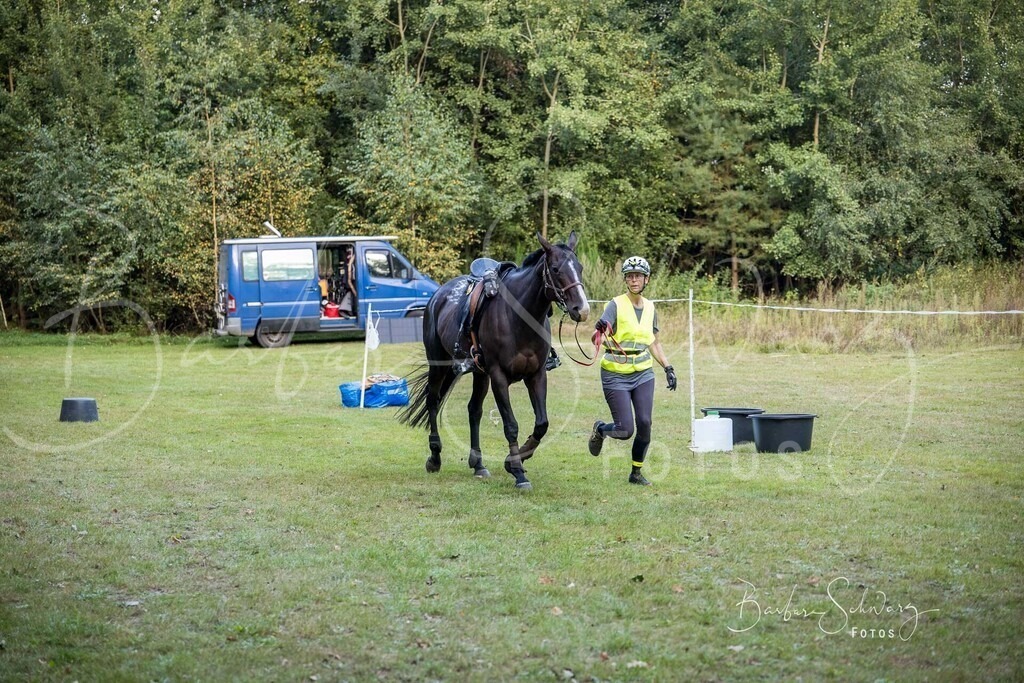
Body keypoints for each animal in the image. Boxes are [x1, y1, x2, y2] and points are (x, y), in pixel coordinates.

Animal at [397, 231, 590, 490]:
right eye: (556, 269)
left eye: (579, 267)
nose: (582, 309)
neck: (519, 317)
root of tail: (438, 295)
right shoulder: (499, 376)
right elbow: (511, 425)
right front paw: (517, 471)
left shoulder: (536, 375)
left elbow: (542, 424)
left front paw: (518, 457)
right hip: (438, 365)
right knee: (433, 401)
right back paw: (435, 458)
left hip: (480, 374)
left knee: (474, 410)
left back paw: (478, 464)